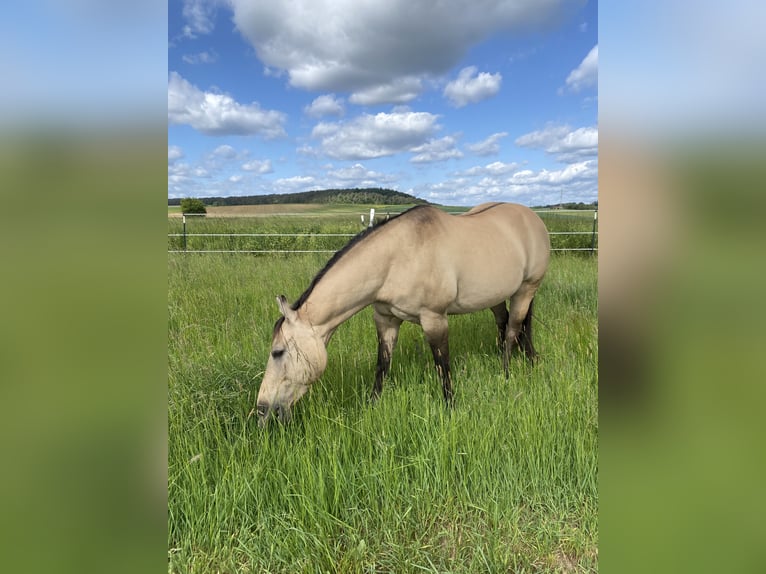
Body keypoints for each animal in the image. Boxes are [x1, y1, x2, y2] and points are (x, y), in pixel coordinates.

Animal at [256, 202, 550, 425]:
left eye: (278, 352)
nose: (261, 409)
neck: (398, 258)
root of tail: (532, 217)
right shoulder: (386, 320)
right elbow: (382, 365)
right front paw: (372, 406)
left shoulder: (434, 319)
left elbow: (443, 367)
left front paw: (451, 409)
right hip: (497, 295)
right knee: (505, 324)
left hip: (527, 288)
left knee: (513, 329)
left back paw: (506, 374)